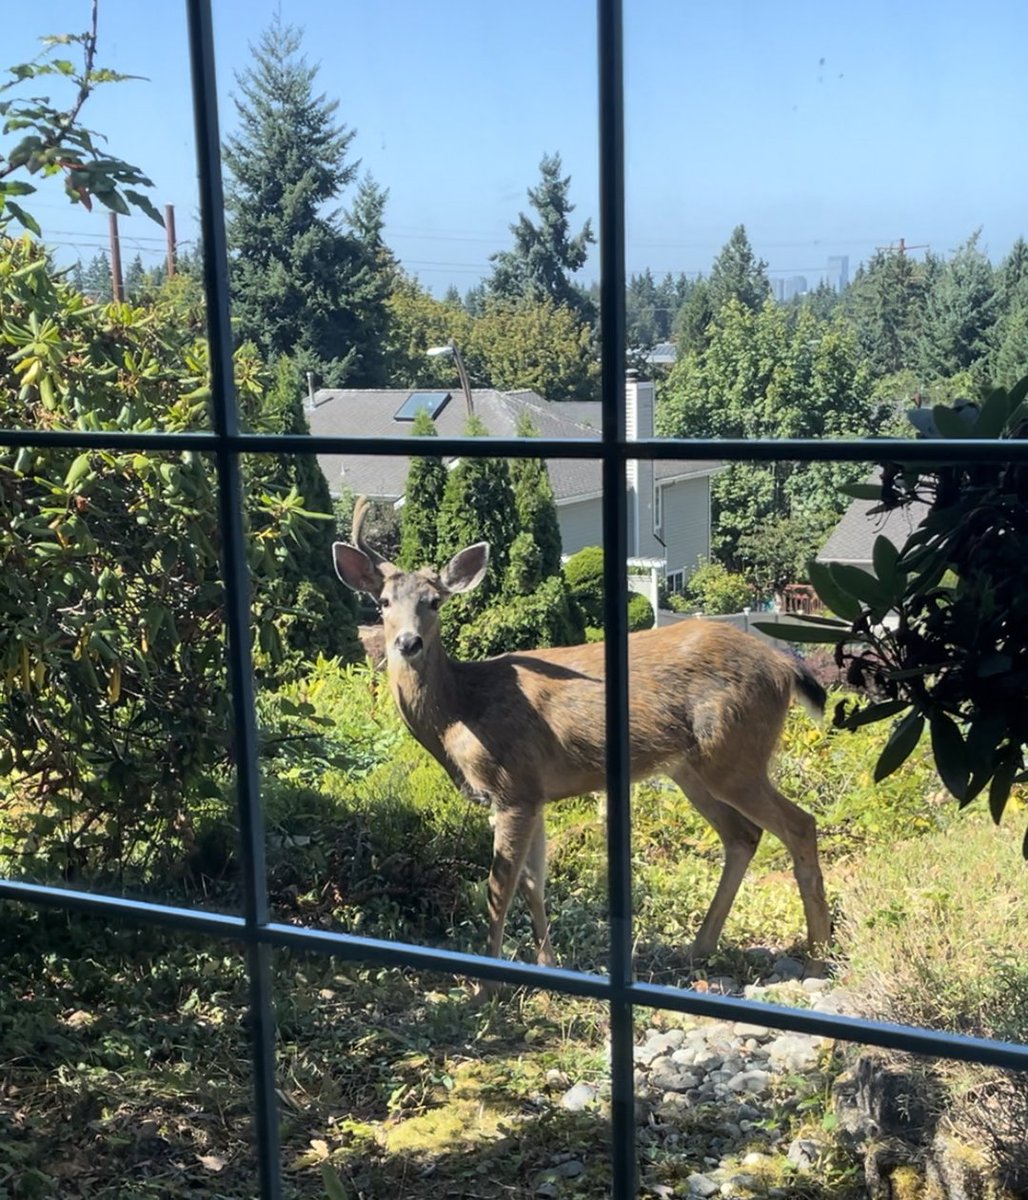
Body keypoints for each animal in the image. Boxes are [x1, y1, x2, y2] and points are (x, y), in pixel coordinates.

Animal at [333, 498, 831, 974]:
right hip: (692, 766)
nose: (408, 643)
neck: (459, 711)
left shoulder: (513, 785)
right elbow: (532, 882)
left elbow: (498, 889)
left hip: (734, 751)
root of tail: (783, 665)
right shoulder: (532, 793)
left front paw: (487, 984)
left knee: (799, 825)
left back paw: (817, 954)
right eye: (383, 602)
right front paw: (546, 965)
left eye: (434, 602)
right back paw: (699, 948)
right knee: (743, 835)